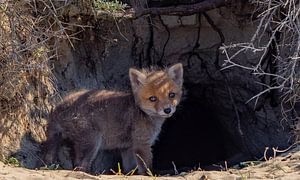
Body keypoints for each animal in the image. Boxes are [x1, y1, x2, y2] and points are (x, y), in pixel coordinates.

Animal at [42, 63, 183, 174]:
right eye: (153, 98)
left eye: (171, 95)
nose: (167, 110)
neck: (141, 112)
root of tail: (62, 106)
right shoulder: (141, 144)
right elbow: (146, 167)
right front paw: (150, 175)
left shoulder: (127, 148)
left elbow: (129, 168)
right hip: (91, 143)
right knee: (79, 166)